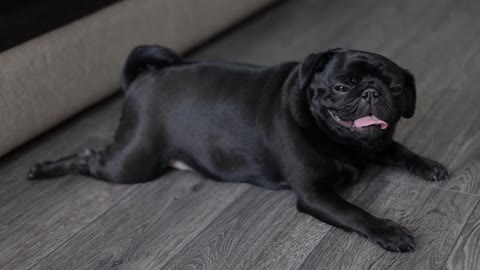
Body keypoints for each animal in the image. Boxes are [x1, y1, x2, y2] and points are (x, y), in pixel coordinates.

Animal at [28, 46, 450, 251]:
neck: (342, 142)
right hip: (133, 163)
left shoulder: (377, 144)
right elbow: (356, 212)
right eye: (342, 86)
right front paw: (388, 231)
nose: (371, 91)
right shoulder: (315, 195)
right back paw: (43, 168)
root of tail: (143, 78)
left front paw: (427, 163)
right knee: (89, 158)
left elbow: (399, 150)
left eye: (394, 87)